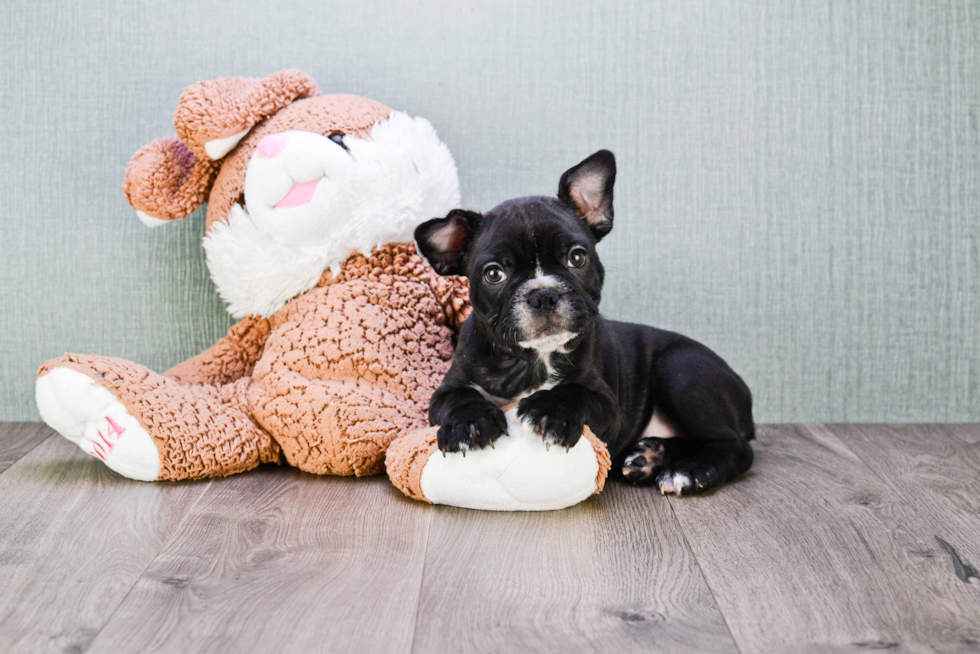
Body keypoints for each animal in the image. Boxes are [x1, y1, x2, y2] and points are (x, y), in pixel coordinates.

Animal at [414, 151, 756, 494]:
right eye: (494, 273)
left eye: (577, 257)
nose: (543, 294)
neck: (532, 362)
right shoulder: (446, 389)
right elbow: (458, 398)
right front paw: (470, 422)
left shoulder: (608, 407)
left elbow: (575, 393)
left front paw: (549, 410)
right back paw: (649, 456)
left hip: (679, 370)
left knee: (733, 446)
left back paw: (688, 471)